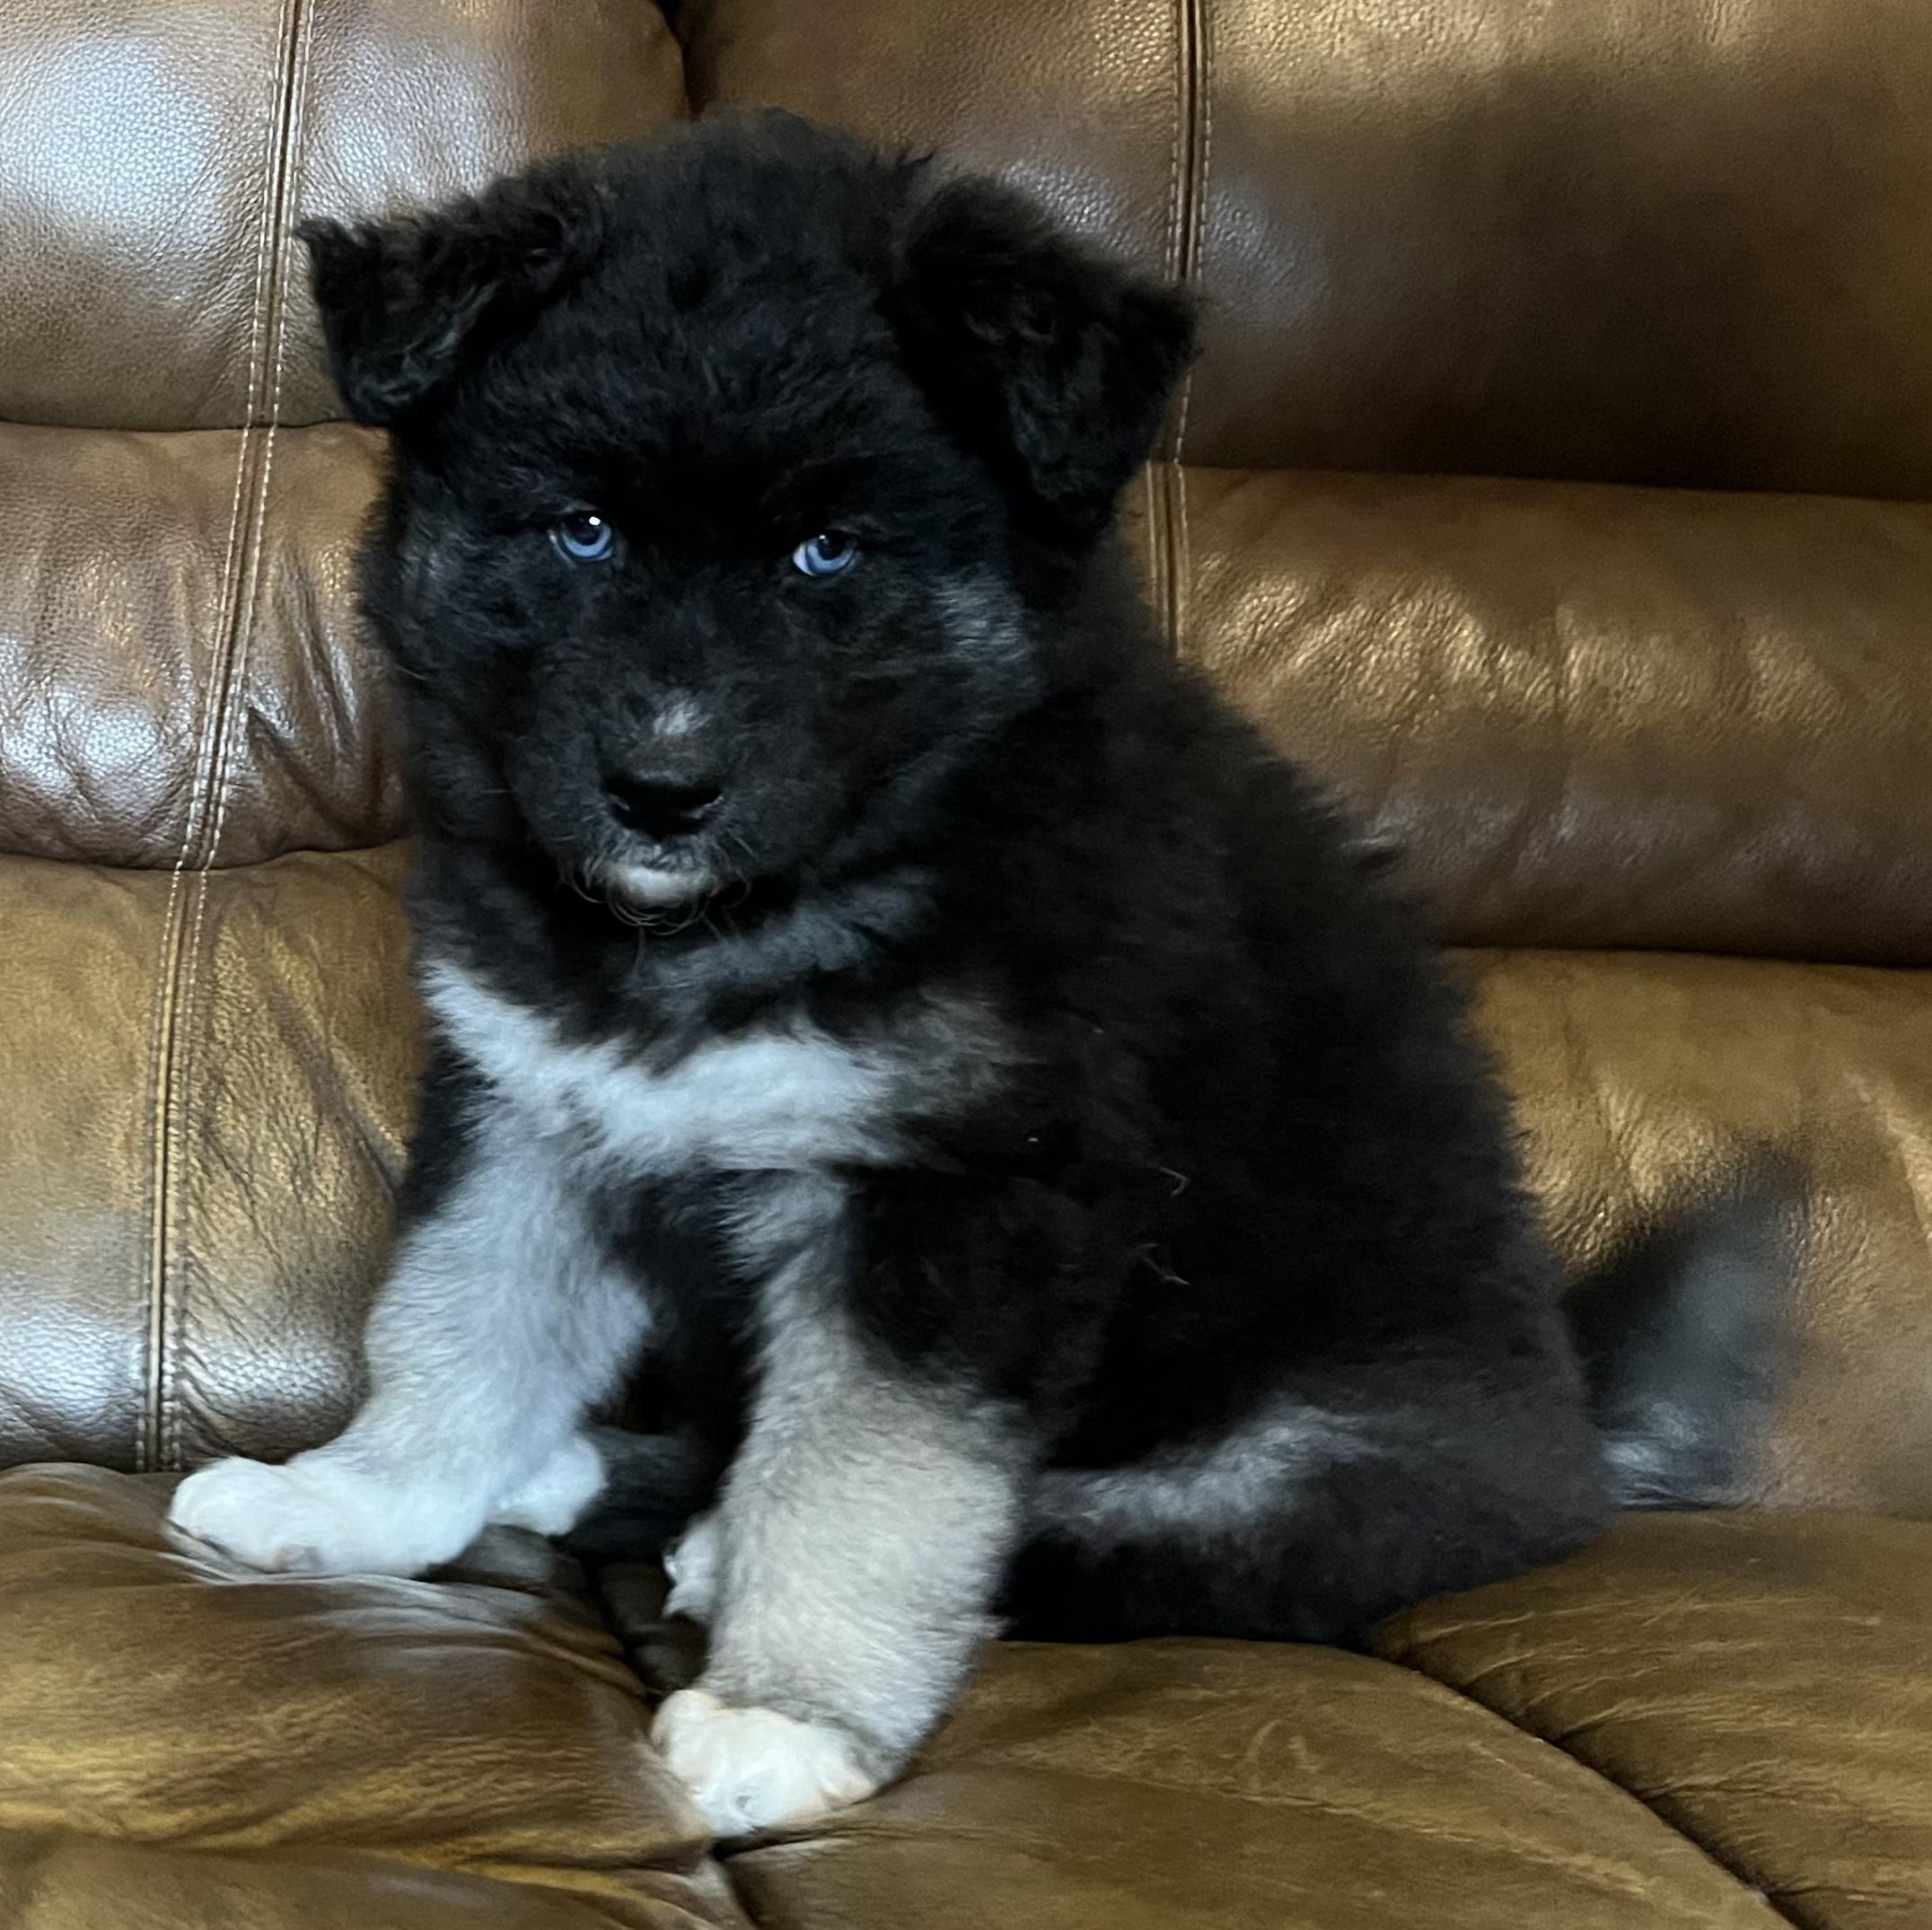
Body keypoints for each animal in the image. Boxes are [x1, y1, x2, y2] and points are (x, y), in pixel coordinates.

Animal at [168, 111, 1790, 1836]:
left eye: (827, 552)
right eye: (582, 529)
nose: (660, 791)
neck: (732, 925)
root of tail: (1580, 1437)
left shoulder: (970, 1200)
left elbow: (872, 1478)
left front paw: (789, 1714)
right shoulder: (537, 1110)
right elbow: (454, 1322)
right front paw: (363, 1499)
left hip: (1312, 1460)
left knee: (1091, 1536)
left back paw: (720, 1552)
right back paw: (592, 1477)